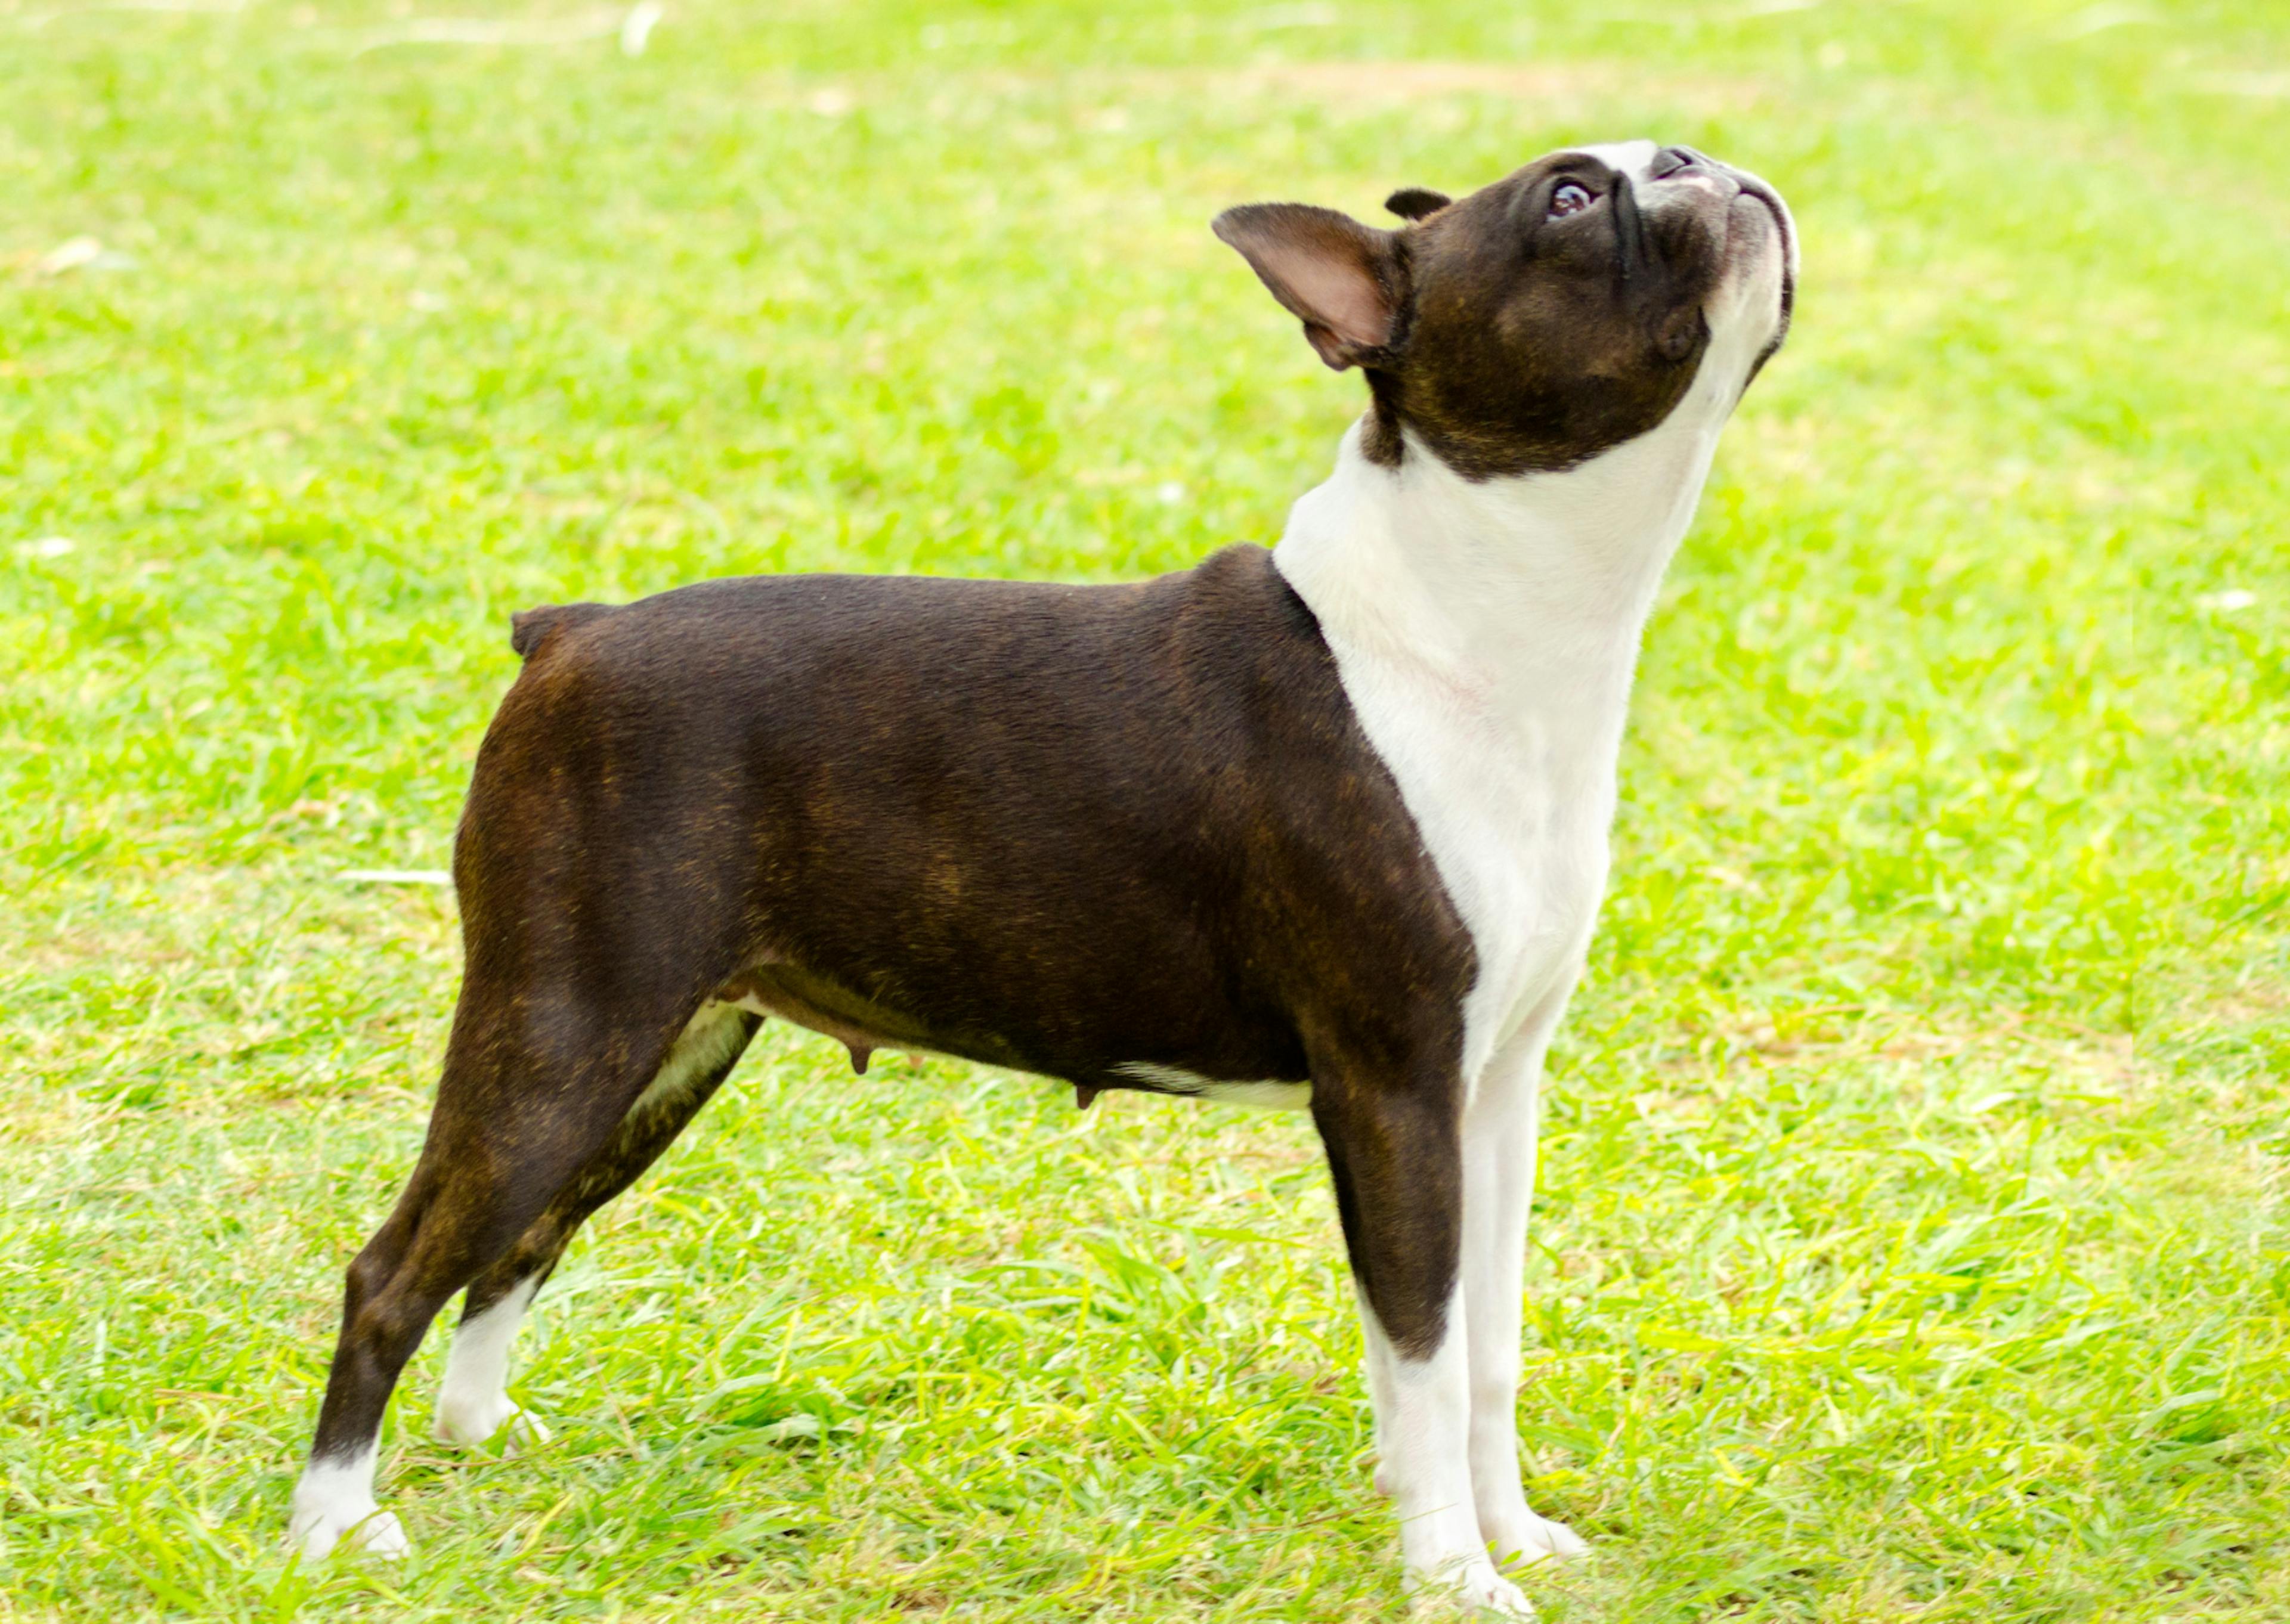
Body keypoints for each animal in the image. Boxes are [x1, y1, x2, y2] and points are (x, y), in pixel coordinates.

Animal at [286, 145, 1786, 1612]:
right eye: (1571, 199)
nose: (1701, 161)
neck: (1472, 619)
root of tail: (569, 634)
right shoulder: (1394, 1091)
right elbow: (1417, 1351)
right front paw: (1453, 1579)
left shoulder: (1496, 1091)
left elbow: (1486, 1343)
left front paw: (1510, 1536)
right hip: (566, 1032)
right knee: (398, 1265)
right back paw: (334, 1525)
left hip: (665, 1050)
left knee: (518, 1239)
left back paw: (477, 1433)